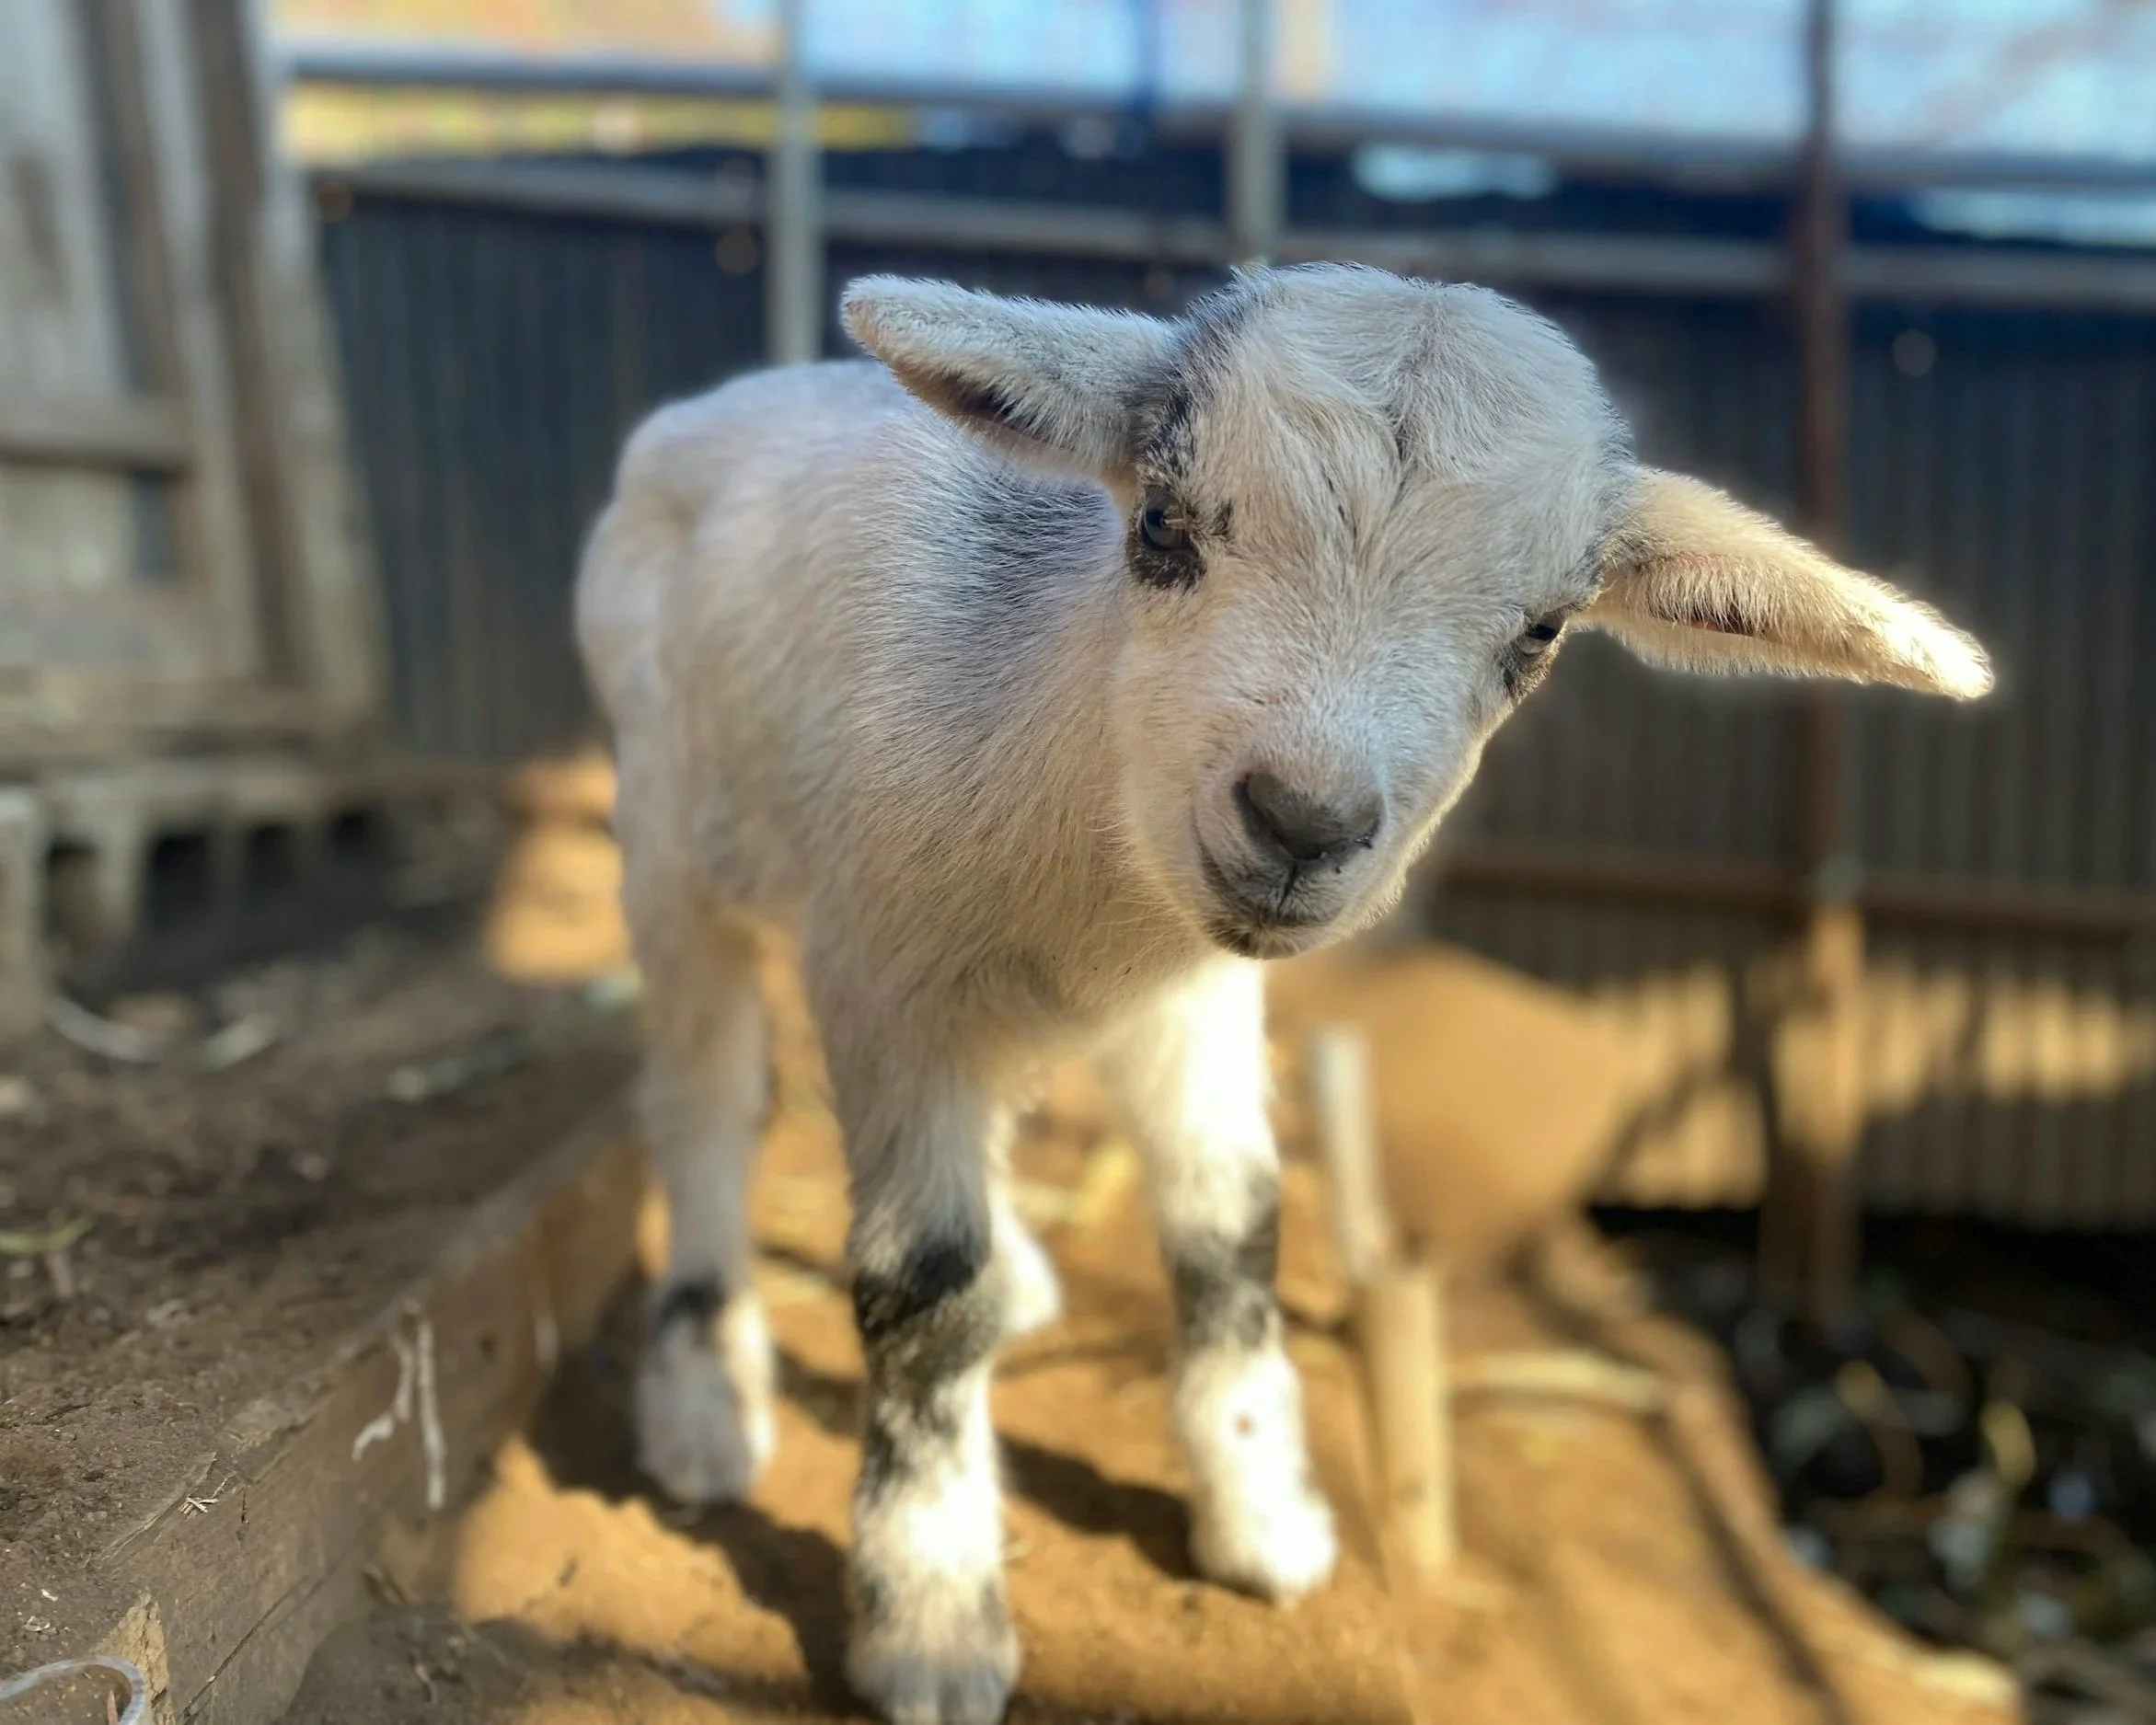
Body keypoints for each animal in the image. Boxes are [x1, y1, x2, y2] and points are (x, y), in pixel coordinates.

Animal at [574, 263, 1991, 1725]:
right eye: (1161, 523)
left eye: (1540, 631)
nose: (1302, 822)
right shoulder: (887, 979)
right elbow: (921, 1285)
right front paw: (933, 1619)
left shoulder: (1189, 999)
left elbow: (1233, 1226)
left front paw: (1264, 1515)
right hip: (669, 837)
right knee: (702, 1105)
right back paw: (701, 1397)